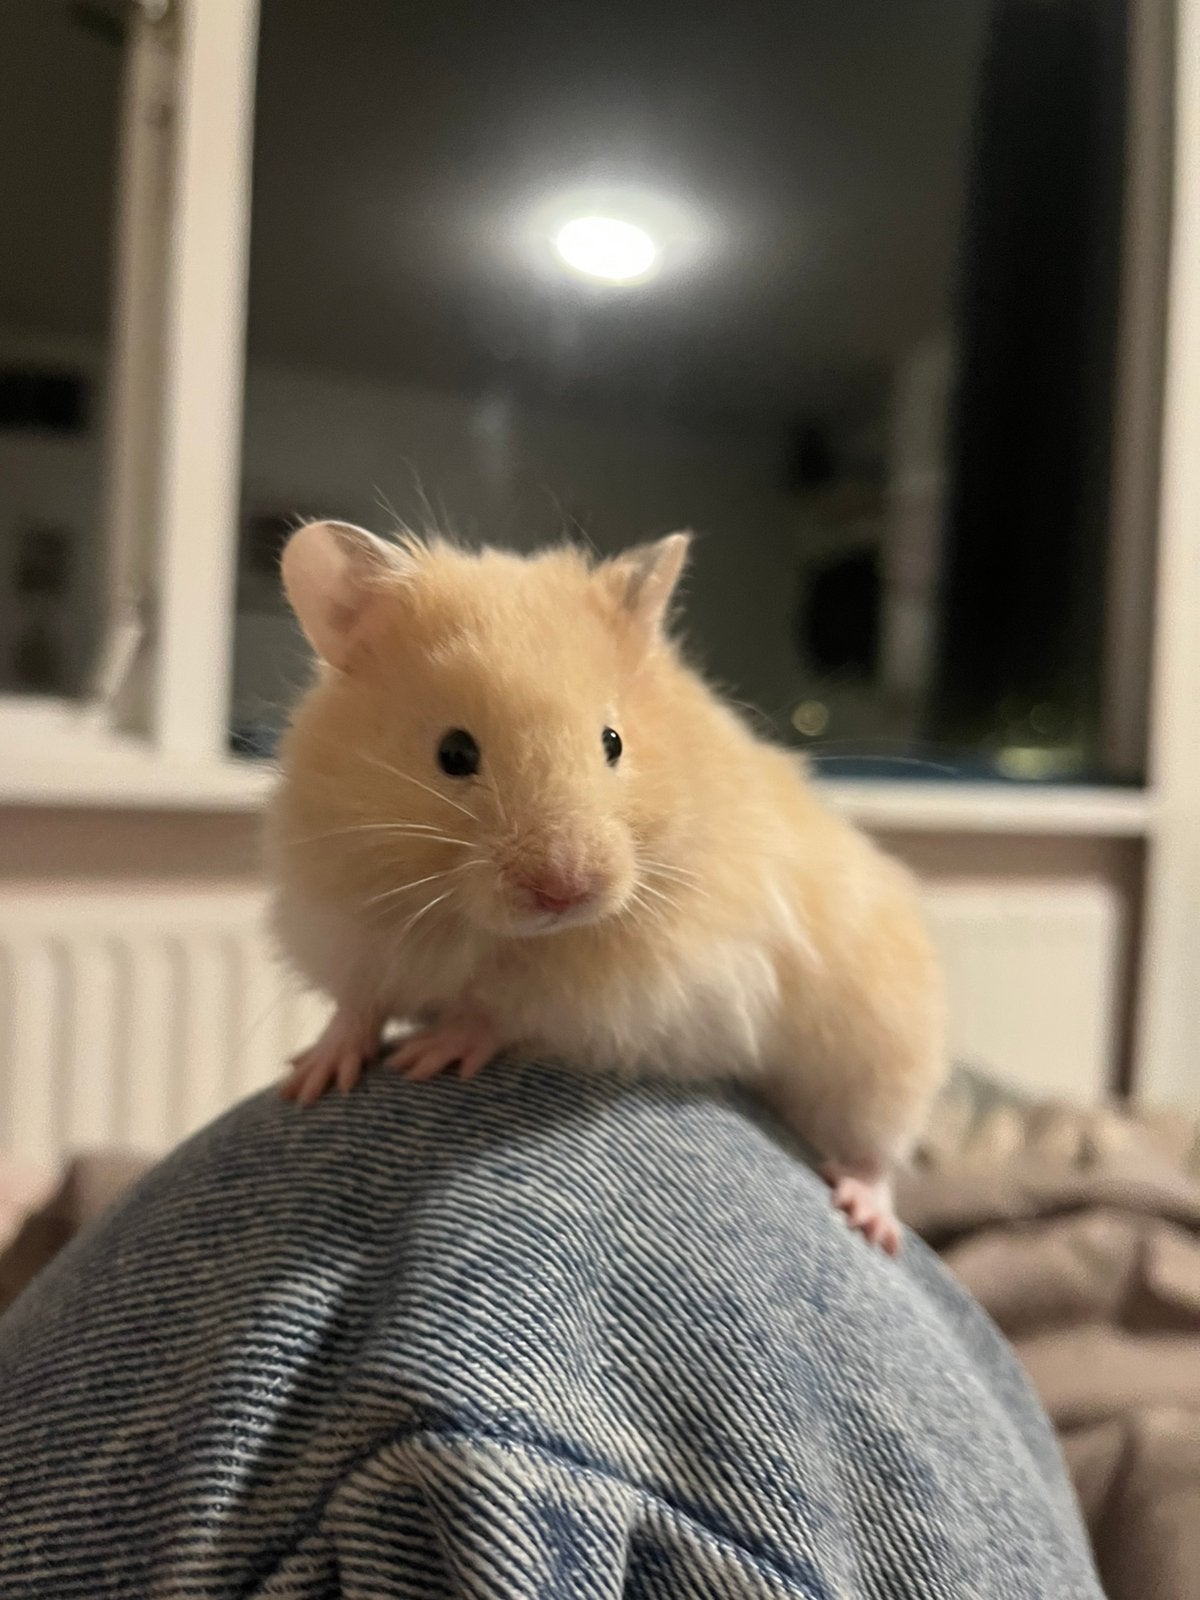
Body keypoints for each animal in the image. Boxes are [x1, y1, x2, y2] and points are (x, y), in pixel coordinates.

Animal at [269, 520, 945, 1253]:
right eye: (453, 754)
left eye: (613, 741)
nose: (566, 890)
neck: (466, 921)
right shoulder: (344, 925)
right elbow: (357, 1004)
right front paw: (310, 1077)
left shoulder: (618, 995)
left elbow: (504, 1009)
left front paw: (428, 1055)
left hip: (880, 1052)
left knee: (876, 1149)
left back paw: (867, 1219)